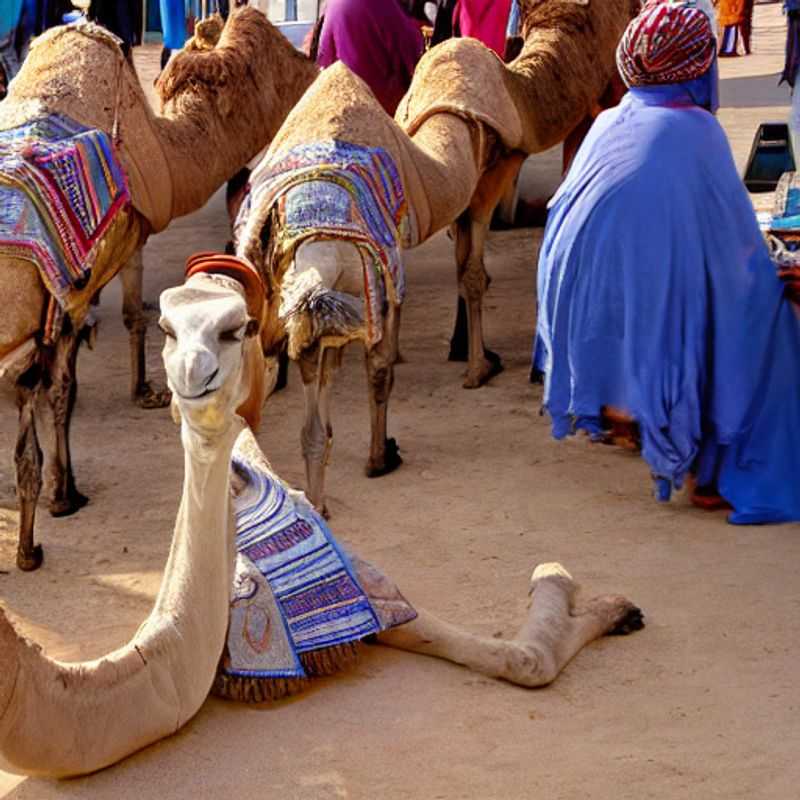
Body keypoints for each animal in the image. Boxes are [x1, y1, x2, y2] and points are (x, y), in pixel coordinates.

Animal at [0, 7, 318, 570]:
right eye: (268, 68)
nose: (313, 66)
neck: (164, 154)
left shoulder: (68, 302)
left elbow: (69, 384)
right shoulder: (104, 266)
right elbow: (115, 336)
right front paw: (63, 498)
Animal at [0, 257, 643, 778]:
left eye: (237, 327)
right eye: (167, 328)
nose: (194, 374)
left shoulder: (381, 596)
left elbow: (520, 660)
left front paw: (596, 597)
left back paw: (578, 585)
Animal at [231, 0, 638, 514]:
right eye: (617, 17)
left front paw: (470, 354)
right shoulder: (487, 177)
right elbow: (470, 276)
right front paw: (477, 368)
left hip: (301, 305)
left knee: (301, 399)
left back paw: (312, 496)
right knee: (359, 373)